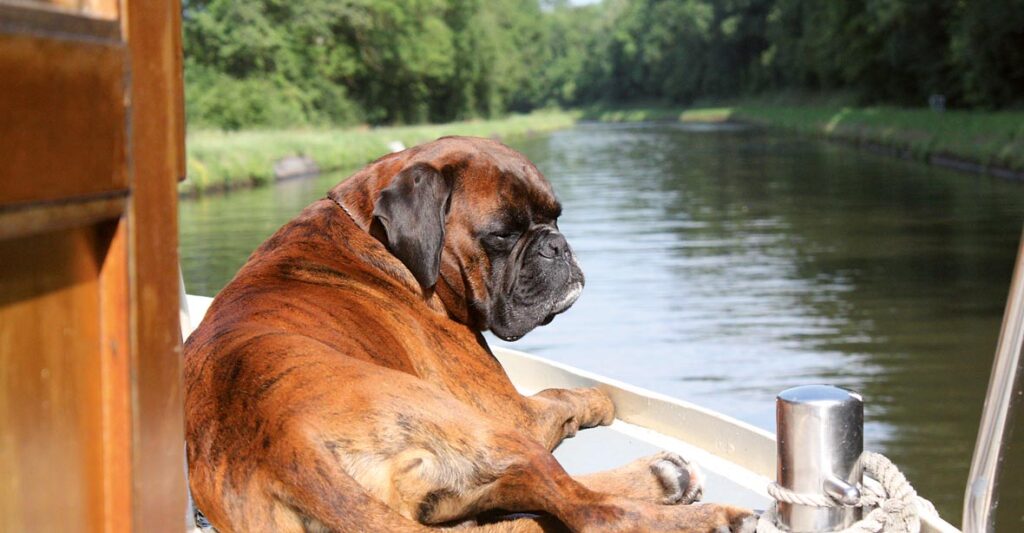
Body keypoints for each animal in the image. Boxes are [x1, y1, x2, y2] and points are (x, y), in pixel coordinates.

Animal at [186, 136, 753, 531]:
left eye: (555, 218)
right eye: (502, 235)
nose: (557, 246)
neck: (381, 242)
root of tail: (286, 449)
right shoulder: (514, 410)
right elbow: (562, 395)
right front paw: (597, 399)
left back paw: (667, 476)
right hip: (494, 433)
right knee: (589, 511)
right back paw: (703, 509)